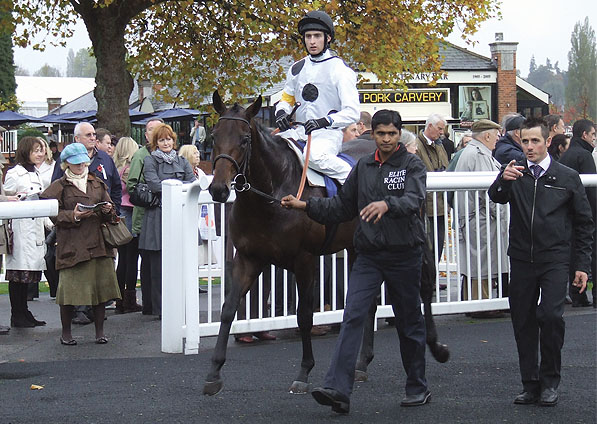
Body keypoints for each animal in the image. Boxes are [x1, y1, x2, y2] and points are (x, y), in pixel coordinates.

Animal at [204, 91, 448, 396]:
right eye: (214, 135)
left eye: (245, 139)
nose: (218, 189)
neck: (272, 195)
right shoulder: (249, 258)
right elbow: (228, 310)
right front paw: (214, 372)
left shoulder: (305, 260)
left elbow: (305, 316)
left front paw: (304, 372)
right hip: (358, 247)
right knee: (370, 302)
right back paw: (361, 363)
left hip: (413, 234)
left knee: (424, 284)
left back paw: (436, 346)